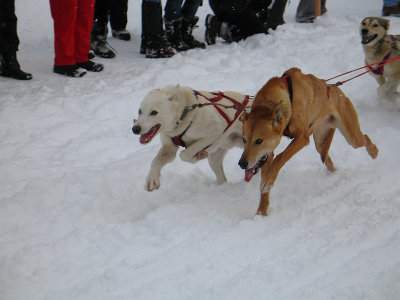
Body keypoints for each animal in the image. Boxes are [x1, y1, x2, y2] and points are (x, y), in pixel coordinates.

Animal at [239, 69, 380, 216]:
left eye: (259, 140)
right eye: (244, 140)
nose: (242, 163)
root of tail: (334, 88)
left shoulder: (302, 138)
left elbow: (280, 157)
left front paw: (268, 181)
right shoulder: (267, 153)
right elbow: (268, 171)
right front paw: (262, 211)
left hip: (351, 136)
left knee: (364, 138)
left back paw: (373, 151)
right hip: (320, 143)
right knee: (327, 159)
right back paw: (334, 174)